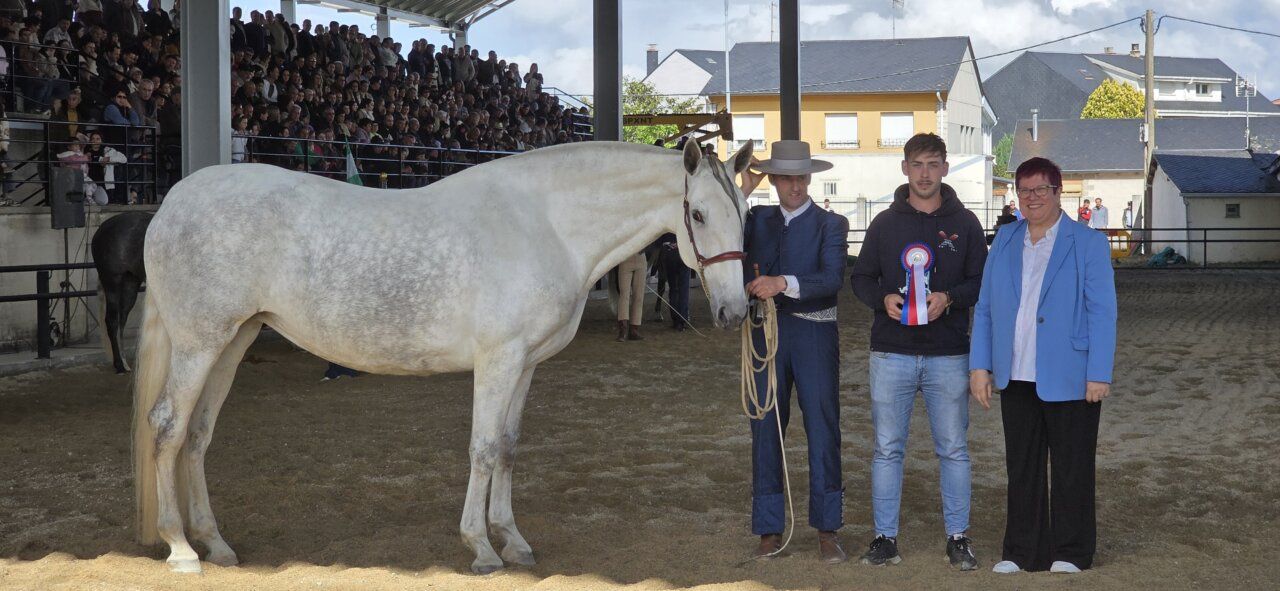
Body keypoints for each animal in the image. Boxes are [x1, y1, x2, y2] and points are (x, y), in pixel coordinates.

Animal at [91, 210, 152, 374]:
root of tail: (101, 228)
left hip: (130, 284)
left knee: (121, 320)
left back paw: (124, 363)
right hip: (112, 282)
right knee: (111, 321)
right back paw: (119, 365)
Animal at [132, 139, 754, 574]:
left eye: (745, 213)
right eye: (699, 214)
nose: (734, 311)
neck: (546, 223)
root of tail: (173, 202)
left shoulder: (525, 364)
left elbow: (508, 448)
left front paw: (513, 540)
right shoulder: (498, 360)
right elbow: (482, 449)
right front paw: (481, 548)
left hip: (233, 341)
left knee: (198, 435)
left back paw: (216, 543)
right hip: (199, 343)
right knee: (167, 427)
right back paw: (181, 549)